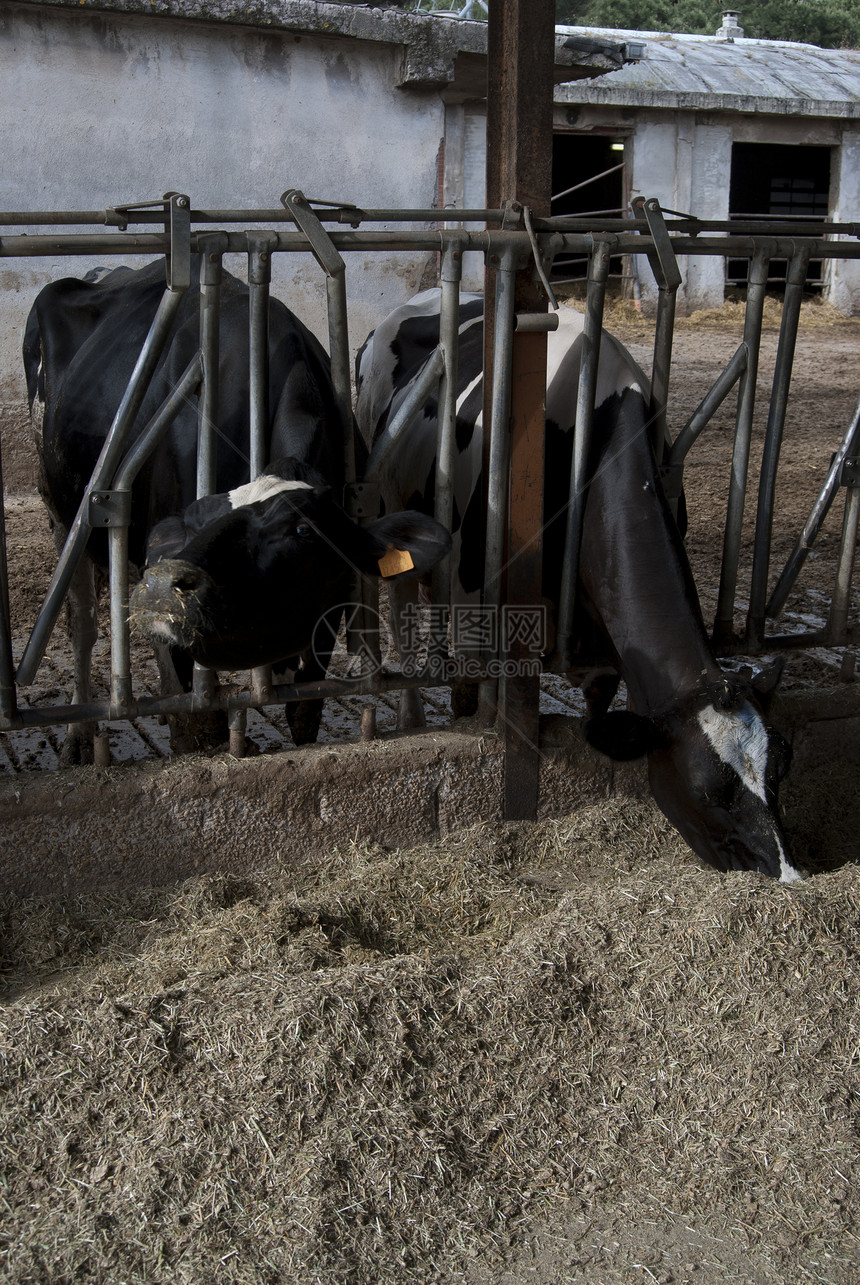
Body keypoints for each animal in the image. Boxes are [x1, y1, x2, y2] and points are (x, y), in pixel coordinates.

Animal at [23, 262, 447, 760]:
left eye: (303, 530)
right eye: (192, 524)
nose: (161, 586)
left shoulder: (323, 611)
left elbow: (303, 711)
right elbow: (195, 723)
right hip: (59, 510)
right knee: (83, 625)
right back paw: (77, 736)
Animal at [354, 289, 797, 884]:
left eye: (779, 772)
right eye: (709, 793)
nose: (790, 876)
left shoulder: (603, 637)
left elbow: (598, 707)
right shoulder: (478, 602)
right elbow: (474, 700)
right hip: (391, 514)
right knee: (404, 625)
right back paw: (412, 716)